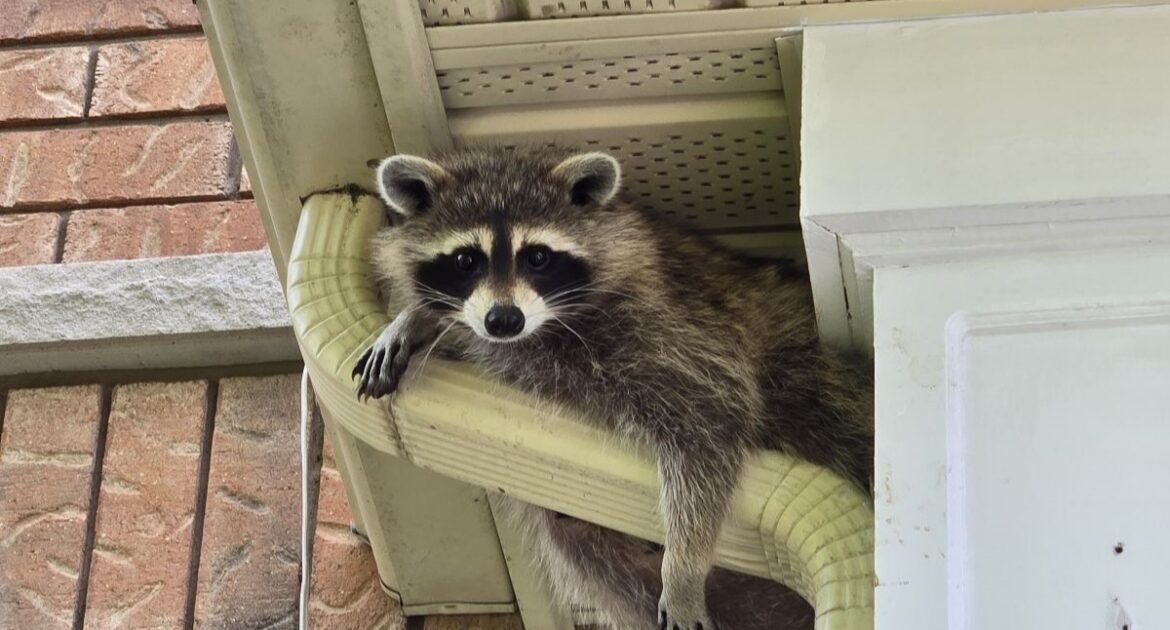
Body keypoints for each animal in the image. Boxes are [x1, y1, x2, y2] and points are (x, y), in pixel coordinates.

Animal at [354, 146, 873, 629]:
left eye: (537, 256)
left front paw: (683, 567)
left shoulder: (671, 330)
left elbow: (710, 420)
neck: (545, 327)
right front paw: (412, 320)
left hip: (809, 374)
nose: (503, 320)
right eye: (466, 260)